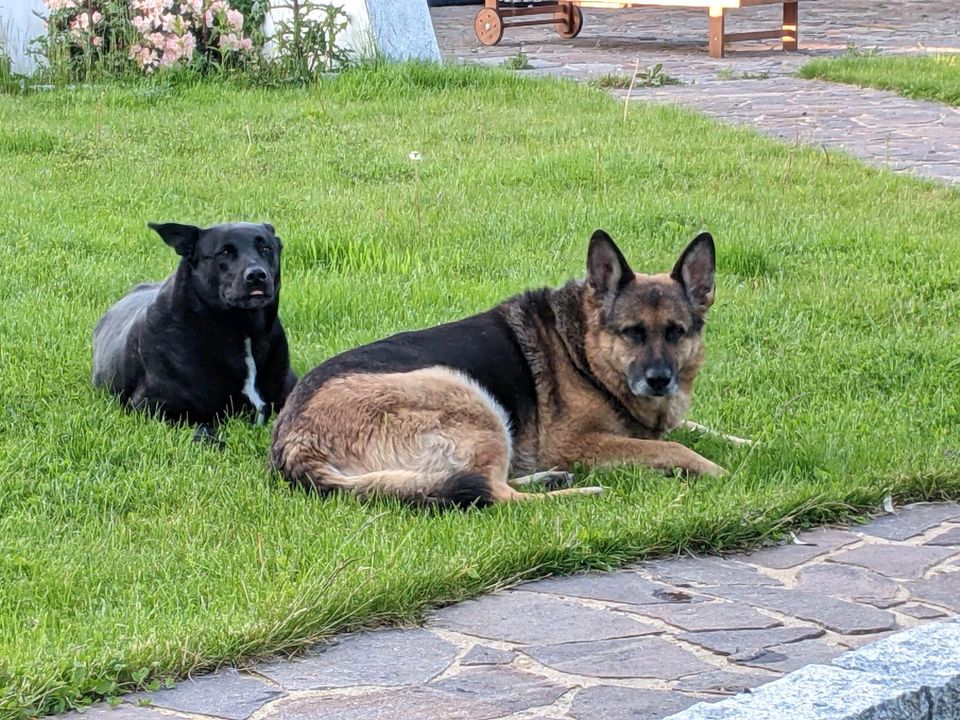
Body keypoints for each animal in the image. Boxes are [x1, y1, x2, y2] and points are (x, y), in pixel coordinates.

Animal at [94, 221, 298, 438]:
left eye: (266, 248)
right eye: (224, 252)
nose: (257, 275)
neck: (243, 330)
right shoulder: (154, 407)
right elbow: (204, 430)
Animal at [268, 231, 720, 506]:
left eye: (676, 332)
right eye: (632, 333)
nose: (659, 381)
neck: (583, 351)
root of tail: (294, 440)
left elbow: (699, 430)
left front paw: (735, 443)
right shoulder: (576, 443)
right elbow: (671, 447)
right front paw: (716, 470)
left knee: (488, 482)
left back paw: (552, 479)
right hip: (469, 397)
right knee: (497, 494)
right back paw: (582, 492)